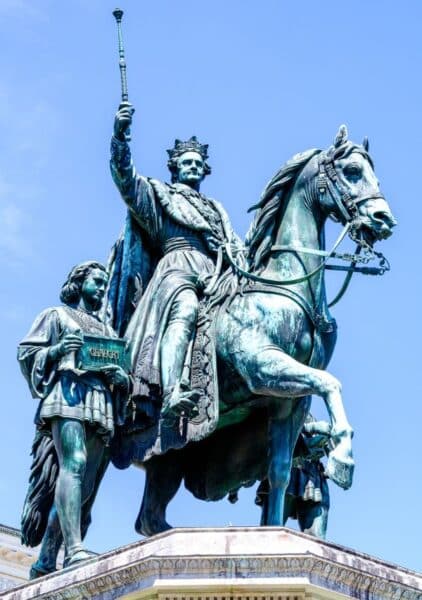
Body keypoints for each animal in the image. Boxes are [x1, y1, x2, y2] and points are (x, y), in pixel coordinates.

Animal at [113, 125, 396, 536]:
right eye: (353, 171)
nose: (383, 219)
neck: (284, 285)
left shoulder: (288, 400)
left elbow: (279, 470)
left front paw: (274, 529)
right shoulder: (262, 367)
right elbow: (332, 384)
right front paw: (344, 455)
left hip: (168, 454)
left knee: (150, 518)